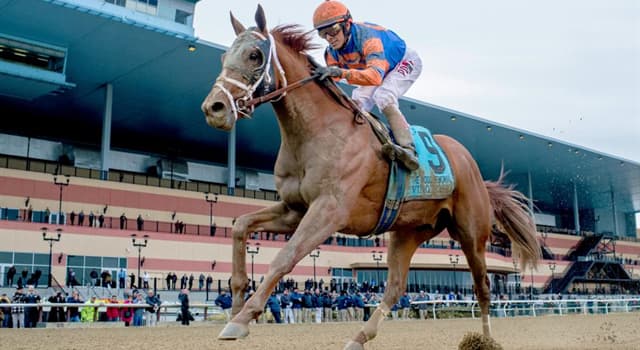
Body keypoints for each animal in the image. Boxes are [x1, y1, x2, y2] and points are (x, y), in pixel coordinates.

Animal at [201, 5, 540, 350]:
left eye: (255, 55)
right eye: (224, 56)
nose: (213, 108)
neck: (316, 133)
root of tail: (471, 165)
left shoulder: (329, 211)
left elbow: (284, 257)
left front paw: (243, 318)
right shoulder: (295, 209)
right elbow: (241, 226)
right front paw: (237, 306)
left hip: (471, 233)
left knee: (482, 286)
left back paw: (484, 339)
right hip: (408, 231)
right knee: (395, 286)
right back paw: (359, 337)